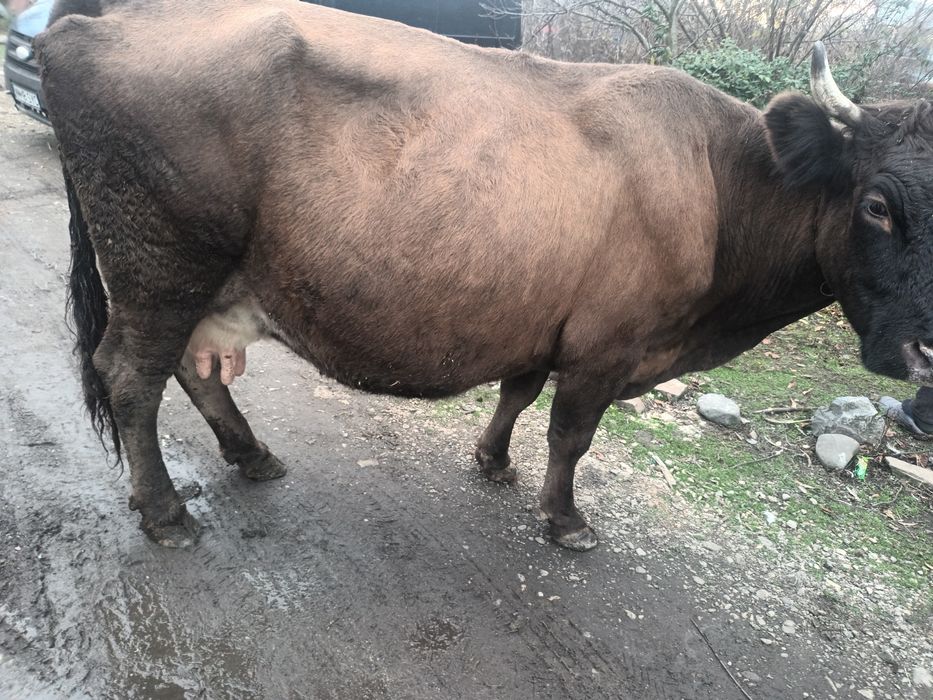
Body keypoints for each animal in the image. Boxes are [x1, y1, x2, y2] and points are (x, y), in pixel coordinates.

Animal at [36, 0, 933, 549]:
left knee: (192, 368)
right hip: (160, 263)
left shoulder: (545, 317)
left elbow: (518, 391)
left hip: (201, 279)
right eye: (876, 206)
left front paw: (492, 460)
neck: (718, 182)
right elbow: (570, 433)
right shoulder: (605, 343)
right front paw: (563, 519)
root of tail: (98, 20)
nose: (925, 351)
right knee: (131, 375)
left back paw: (250, 454)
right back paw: (165, 513)